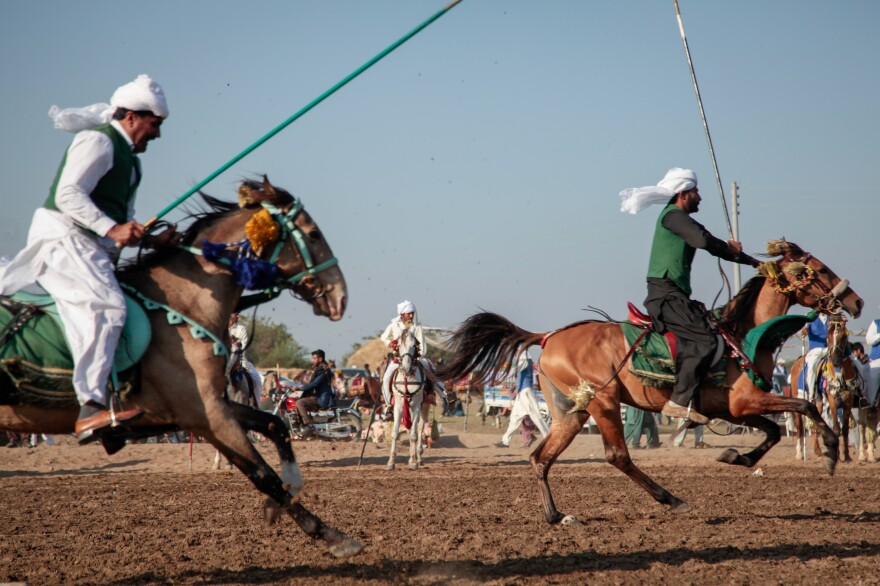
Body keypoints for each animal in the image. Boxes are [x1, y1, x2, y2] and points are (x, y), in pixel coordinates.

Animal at [0, 177, 362, 556]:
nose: (341, 296)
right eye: (314, 234)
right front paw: (330, 534)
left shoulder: (205, 407)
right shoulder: (206, 416)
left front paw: (292, 493)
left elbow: (274, 425)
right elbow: (264, 474)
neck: (178, 310)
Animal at [384, 328, 426, 470]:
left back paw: (418, 457)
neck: (407, 377)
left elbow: (413, 435)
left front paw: (413, 462)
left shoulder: (417, 407)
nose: (407, 367)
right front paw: (391, 462)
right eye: (399, 345)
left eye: (414, 345)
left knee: (420, 427)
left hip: (424, 408)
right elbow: (395, 433)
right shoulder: (398, 407)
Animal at [788, 314, 864, 460]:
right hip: (798, 397)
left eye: (843, 337)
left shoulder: (848, 400)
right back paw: (800, 453)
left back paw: (817, 451)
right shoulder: (832, 398)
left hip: (818, 401)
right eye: (828, 337)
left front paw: (846, 456)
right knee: (799, 426)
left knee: (815, 423)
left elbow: (845, 429)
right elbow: (836, 428)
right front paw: (837, 455)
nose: (834, 359)